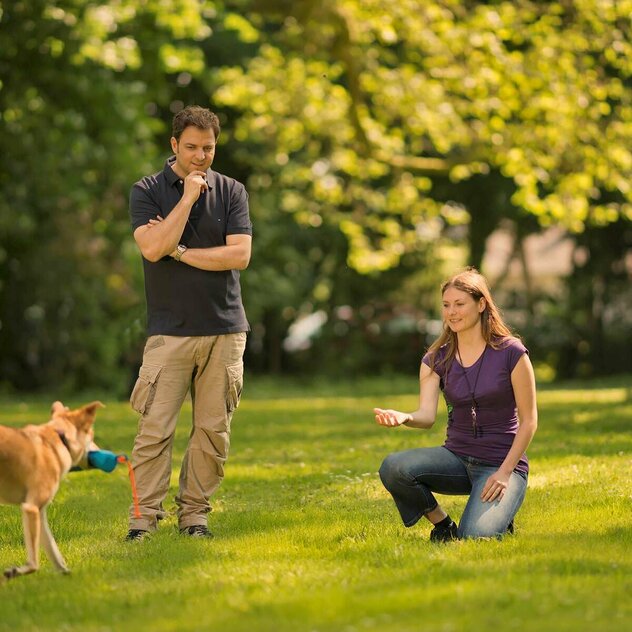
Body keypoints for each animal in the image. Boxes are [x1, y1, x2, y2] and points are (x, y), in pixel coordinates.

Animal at [0, 402, 103, 580]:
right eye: (91, 436)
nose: (100, 451)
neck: (61, 439)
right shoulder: (31, 508)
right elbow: (34, 564)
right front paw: (16, 571)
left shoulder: (40, 513)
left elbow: (53, 550)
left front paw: (66, 573)